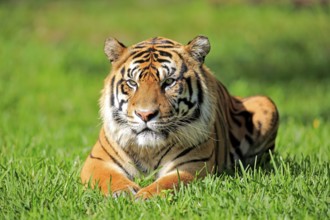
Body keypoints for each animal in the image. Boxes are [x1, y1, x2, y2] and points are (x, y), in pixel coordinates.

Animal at [80, 35, 278, 199]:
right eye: (132, 83)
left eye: (168, 82)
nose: (145, 114)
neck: (149, 150)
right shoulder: (97, 161)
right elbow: (109, 178)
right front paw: (123, 192)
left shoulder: (191, 165)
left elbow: (167, 183)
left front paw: (144, 197)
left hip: (266, 102)